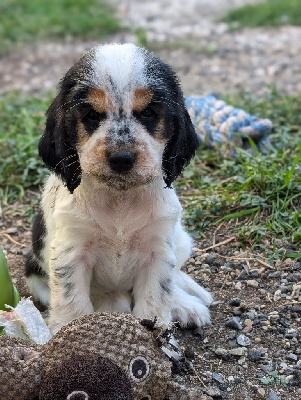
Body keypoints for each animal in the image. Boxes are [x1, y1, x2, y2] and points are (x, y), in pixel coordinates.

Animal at [24, 42, 212, 332]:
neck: (120, 200)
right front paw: (67, 332)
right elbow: (73, 303)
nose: (121, 158)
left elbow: (156, 299)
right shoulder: (71, 252)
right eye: (92, 115)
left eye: (148, 113)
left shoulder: (158, 251)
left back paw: (186, 306)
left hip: (181, 241)